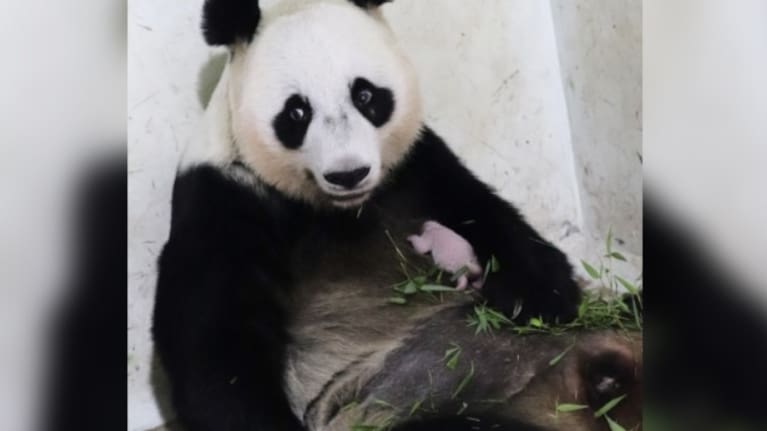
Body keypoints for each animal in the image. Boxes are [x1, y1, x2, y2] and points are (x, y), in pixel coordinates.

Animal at [150, 0, 614, 430]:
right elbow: (218, 346)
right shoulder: (224, 198)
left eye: (365, 95)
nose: (348, 173)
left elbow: (482, 210)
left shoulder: (415, 165)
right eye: (296, 112)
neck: (339, 210)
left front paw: (537, 296)